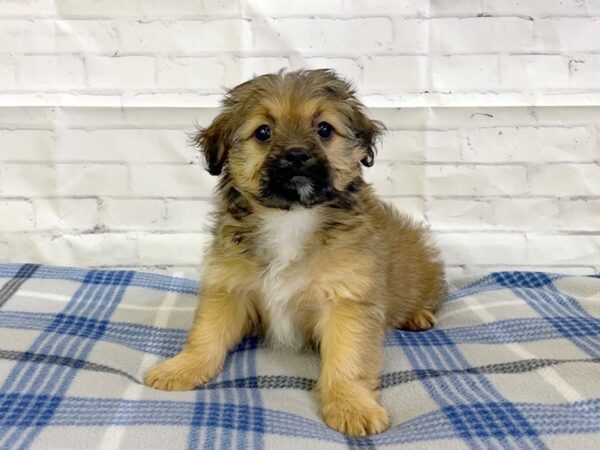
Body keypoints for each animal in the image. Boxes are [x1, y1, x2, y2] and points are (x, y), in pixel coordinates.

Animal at [144, 69, 446, 436]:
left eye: (324, 129)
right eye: (263, 132)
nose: (298, 154)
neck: (290, 218)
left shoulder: (347, 302)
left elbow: (348, 359)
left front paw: (351, 405)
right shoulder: (228, 288)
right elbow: (206, 334)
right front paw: (182, 368)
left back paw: (418, 315)